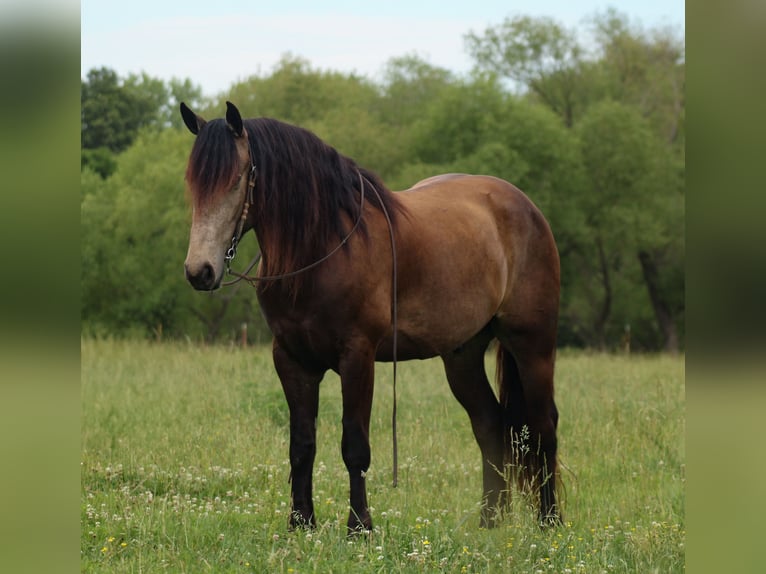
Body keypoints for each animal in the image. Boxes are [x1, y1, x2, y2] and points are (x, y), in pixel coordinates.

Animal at [180, 101, 562, 531]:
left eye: (234, 181)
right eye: (193, 184)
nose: (200, 271)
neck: (322, 248)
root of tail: (524, 206)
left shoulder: (358, 356)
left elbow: (354, 446)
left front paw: (359, 526)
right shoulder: (291, 360)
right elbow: (302, 446)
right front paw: (301, 522)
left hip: (533, 345)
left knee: (543, 426)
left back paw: (549, 522)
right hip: (461, 356)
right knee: (490, 425)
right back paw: (489, 522)